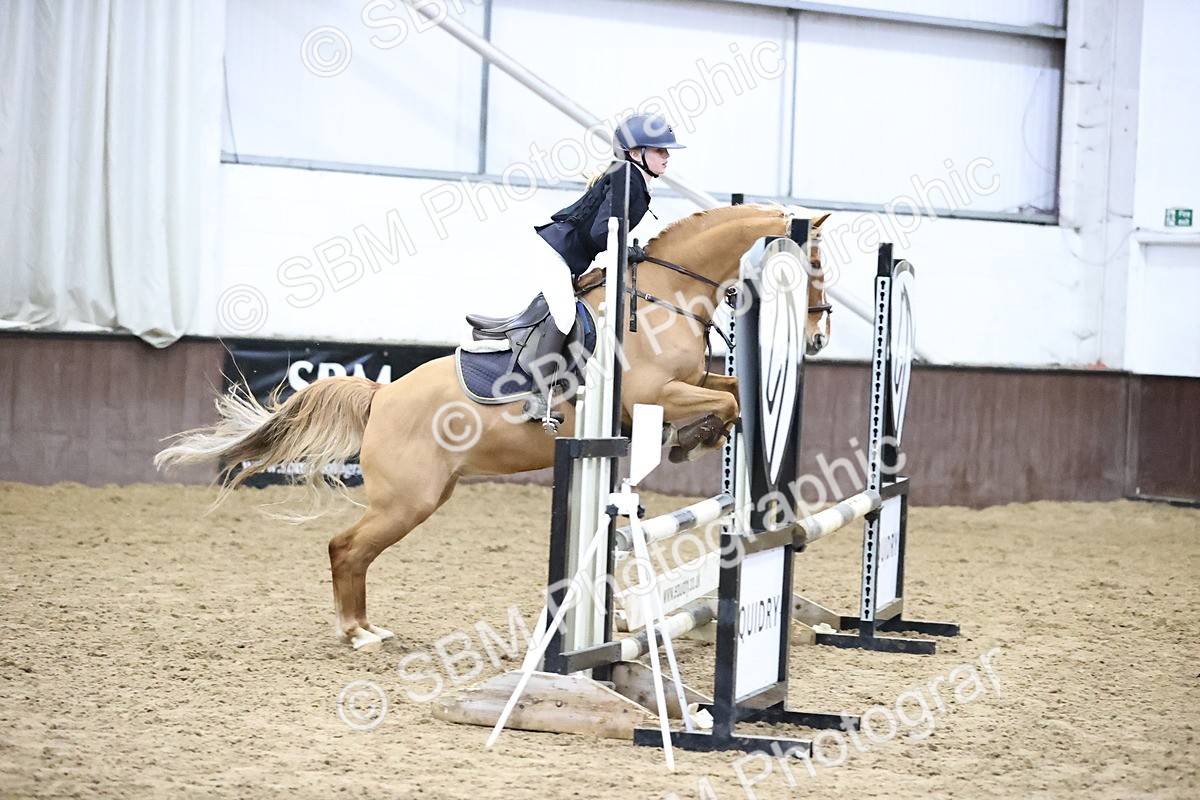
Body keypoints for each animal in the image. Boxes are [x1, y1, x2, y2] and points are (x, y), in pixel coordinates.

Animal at [155, 204, 832, 651]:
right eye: (815, 264)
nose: (818, 338)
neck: (667, 296)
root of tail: (383, 394)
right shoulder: (652, 395)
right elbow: (726, 404)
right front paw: (693, 437)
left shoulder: (684, 385)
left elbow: (732, 394)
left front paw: (702, 438)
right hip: (408, 500)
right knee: (345, 548)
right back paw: (357, 634)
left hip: (426, 495)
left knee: (352, 550)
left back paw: (366, 627)